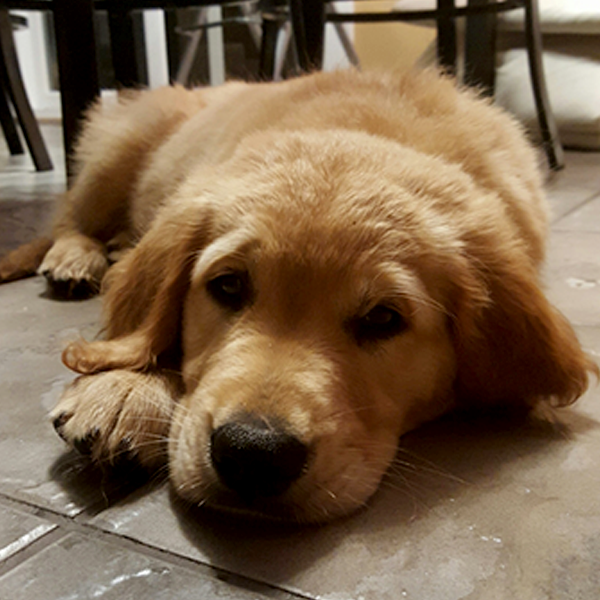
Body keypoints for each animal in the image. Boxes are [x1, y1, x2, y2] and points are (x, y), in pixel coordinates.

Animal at [39, 69, 592, 520]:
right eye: (228, 285)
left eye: (383, 319)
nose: (252, 453)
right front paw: (125, 389)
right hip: (120, 148)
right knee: (67, 214)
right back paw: (75, 258)